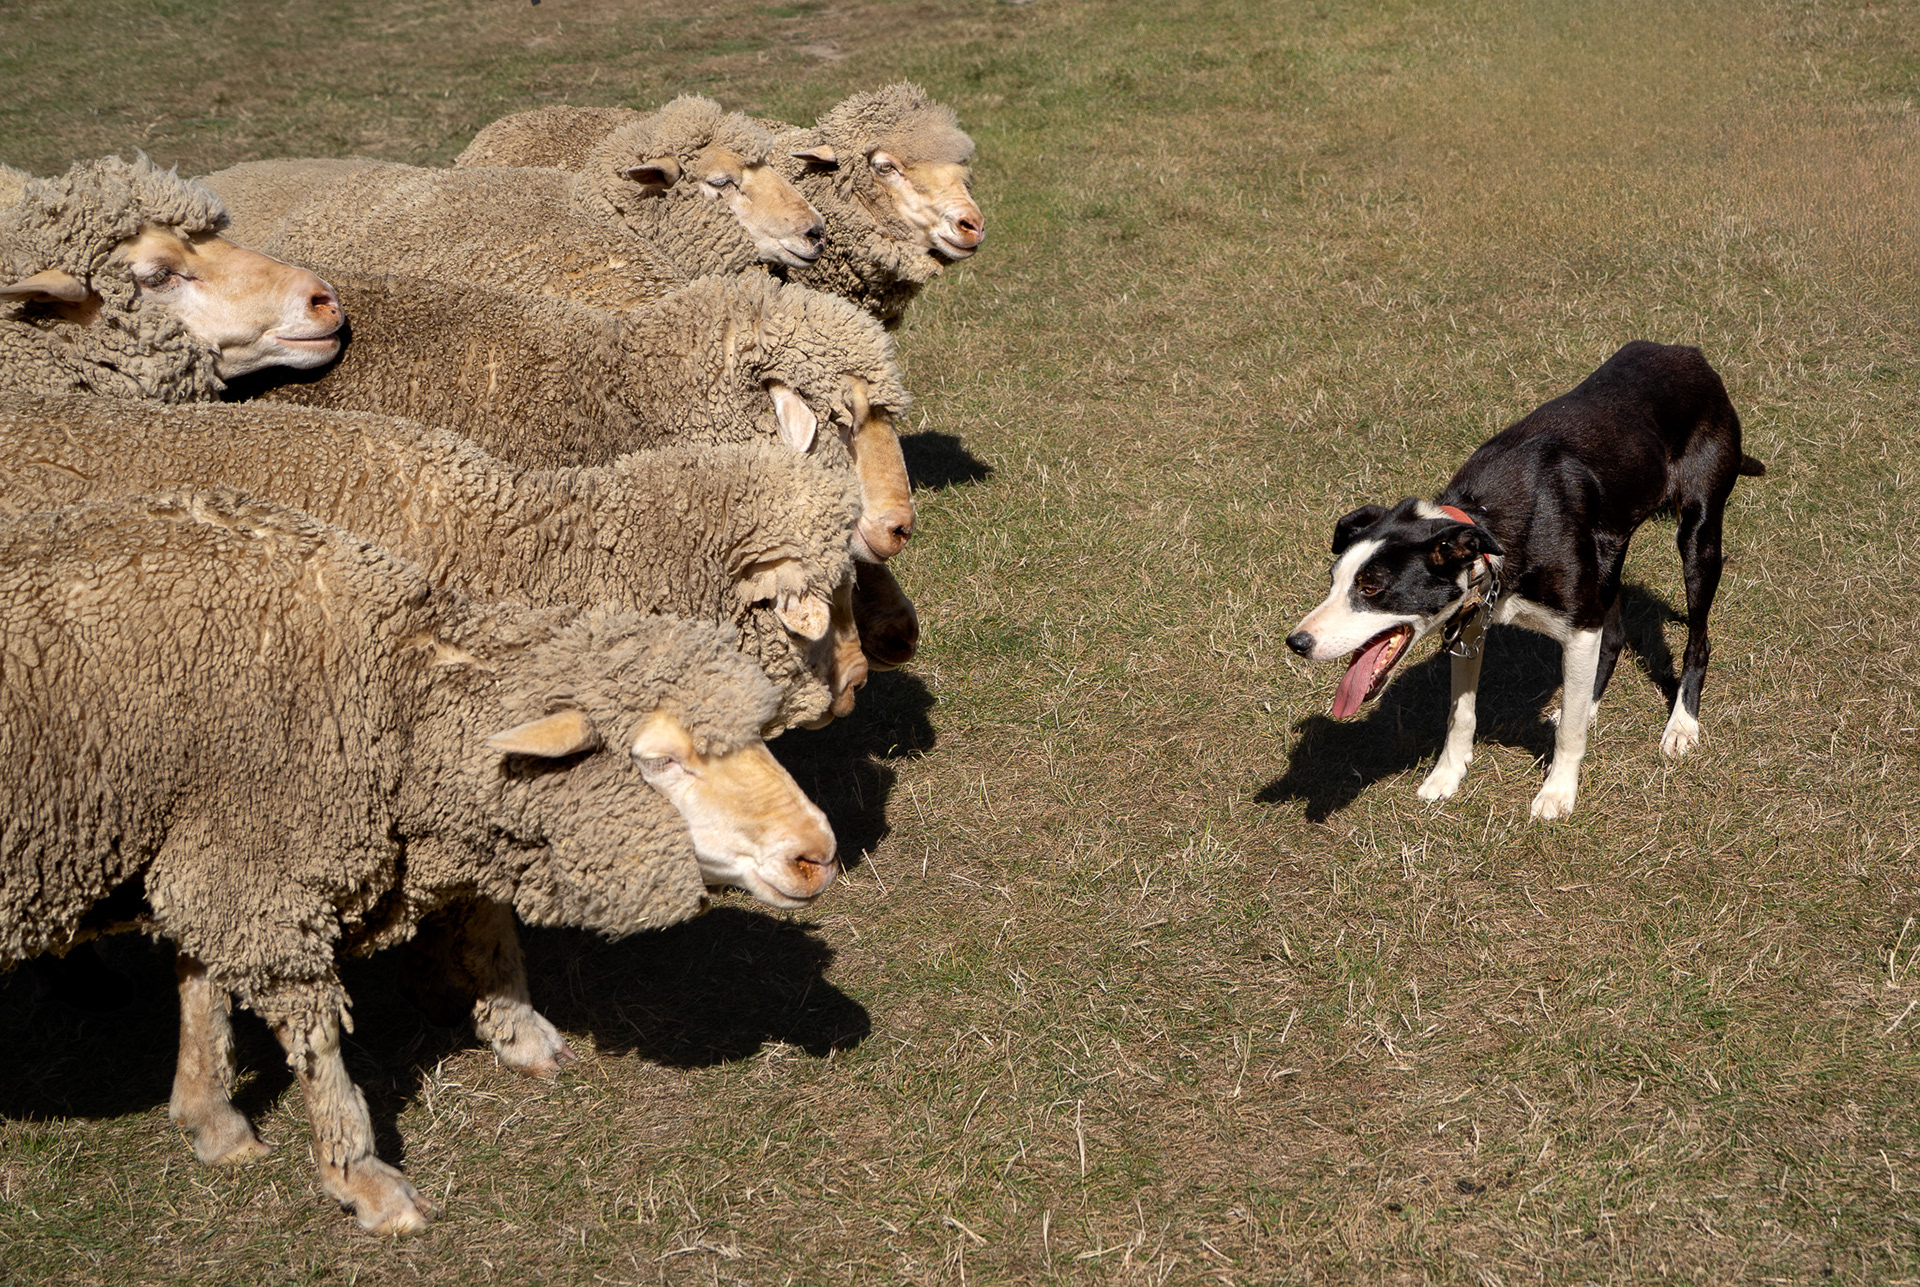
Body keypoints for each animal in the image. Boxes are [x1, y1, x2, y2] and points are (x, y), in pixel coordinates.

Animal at [0, 488, 836, 1232]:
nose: (817, 854)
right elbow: (315, 1037)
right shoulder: (254, 861)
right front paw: (363, 1179)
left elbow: (205, 979)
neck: (386, 696)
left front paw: (212, 1116)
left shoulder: (215, 845)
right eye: (657, 759)